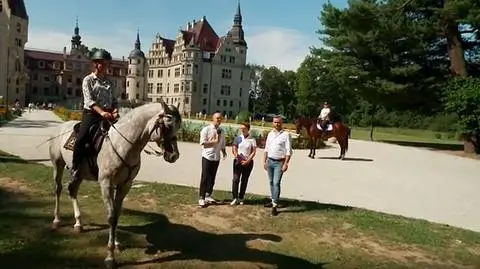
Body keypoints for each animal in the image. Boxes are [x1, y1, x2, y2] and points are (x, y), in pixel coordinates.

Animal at [47, 99, 182, 266]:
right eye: (168, 125)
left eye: (179, 126)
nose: (174, 155)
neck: (123, 144)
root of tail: (61, 127)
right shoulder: (106, 184)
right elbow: (111, 217)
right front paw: (110, 255)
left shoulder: (125, 185)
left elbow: (117, 214)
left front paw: (117, 243)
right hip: (57, 164)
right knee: (58, 188)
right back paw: (57, 220)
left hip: (79, 173)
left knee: (72, 190)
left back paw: (79, 223)